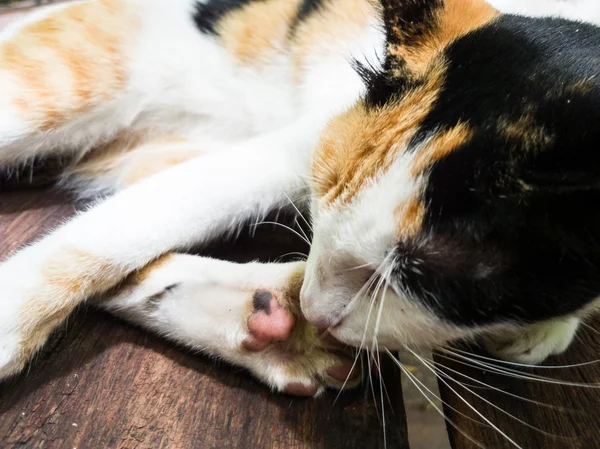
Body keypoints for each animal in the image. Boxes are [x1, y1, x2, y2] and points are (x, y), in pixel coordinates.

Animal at [0, 0, 596, 396]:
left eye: (421, 278)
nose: (316, 307)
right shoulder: (302, 143)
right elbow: (124, 229)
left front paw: (546, 327)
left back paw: (269, 323)